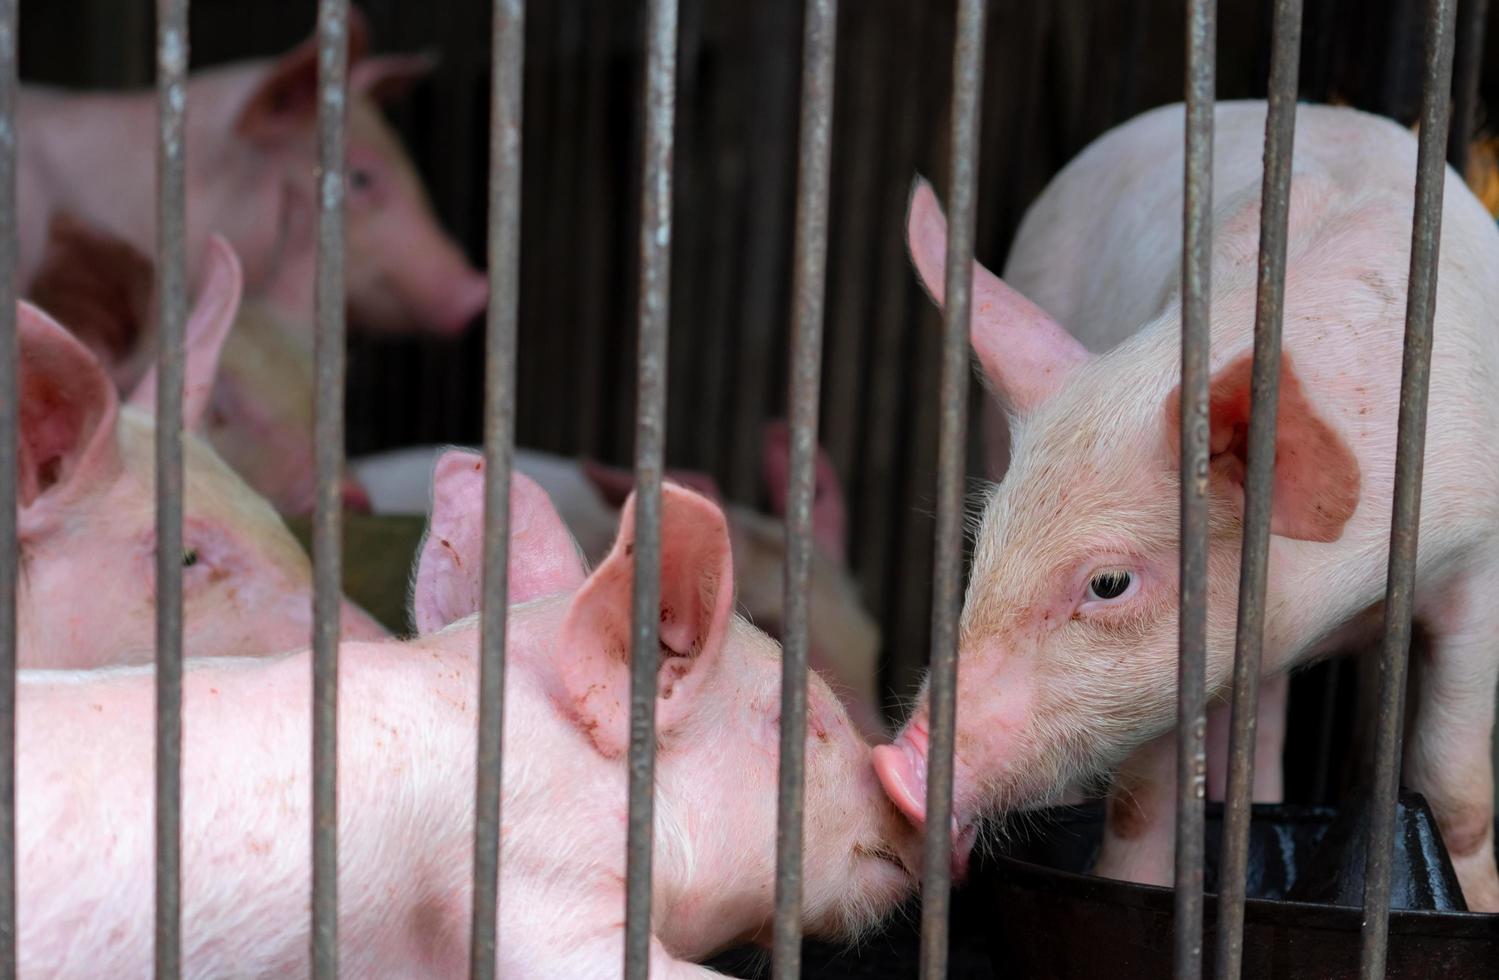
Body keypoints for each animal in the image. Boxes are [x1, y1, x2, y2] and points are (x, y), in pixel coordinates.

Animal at [875, 99, 1499, 911]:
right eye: (981, 554)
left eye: (1109, 583)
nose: (894, 765)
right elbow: (1143, 805)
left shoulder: (1476, 562)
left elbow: (1458, 793)